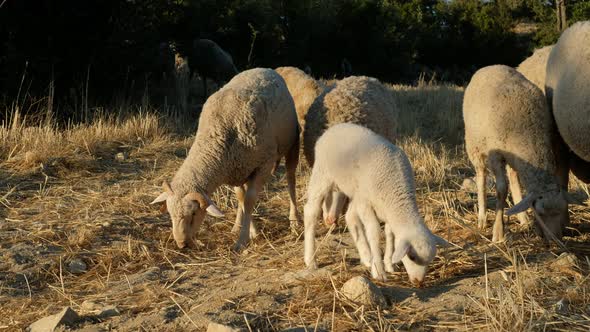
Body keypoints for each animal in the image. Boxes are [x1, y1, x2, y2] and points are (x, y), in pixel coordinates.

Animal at [150, 67, 302, 249]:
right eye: (170, 214)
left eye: (193, 213)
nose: (182, 244)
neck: (217, 136)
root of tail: (265, 69)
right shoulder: (233, 168)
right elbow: (242, 199)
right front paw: (250, 231)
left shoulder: (263, 164)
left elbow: (249, 201)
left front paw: (243, 240)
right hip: (244, 167)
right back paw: (236, 225)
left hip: (291, 145)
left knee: (291, 180)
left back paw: (294, 220)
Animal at [306, 123, 448, 284]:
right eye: (412, 256)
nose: (418, 281)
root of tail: (335, 127)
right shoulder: (367, 204)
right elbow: (374, 232)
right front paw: (379, 271)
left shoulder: (386, 209)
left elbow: (389, 233)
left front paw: (389, 263)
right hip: (322, 174)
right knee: (310, 212)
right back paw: (310, 260)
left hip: (354, 191)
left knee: (350, 217)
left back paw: (366, 257)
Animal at [464, 65, 576, 243]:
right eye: (540, 213)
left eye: (561, 211)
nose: (556, 240)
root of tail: (492, 66)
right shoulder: (495, 156)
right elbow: (501, 189)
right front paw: (498, 231)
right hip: (475, 146)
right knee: (481, 176)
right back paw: (482, 217)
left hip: (513, 157)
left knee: (513, 176)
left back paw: (523, 219)